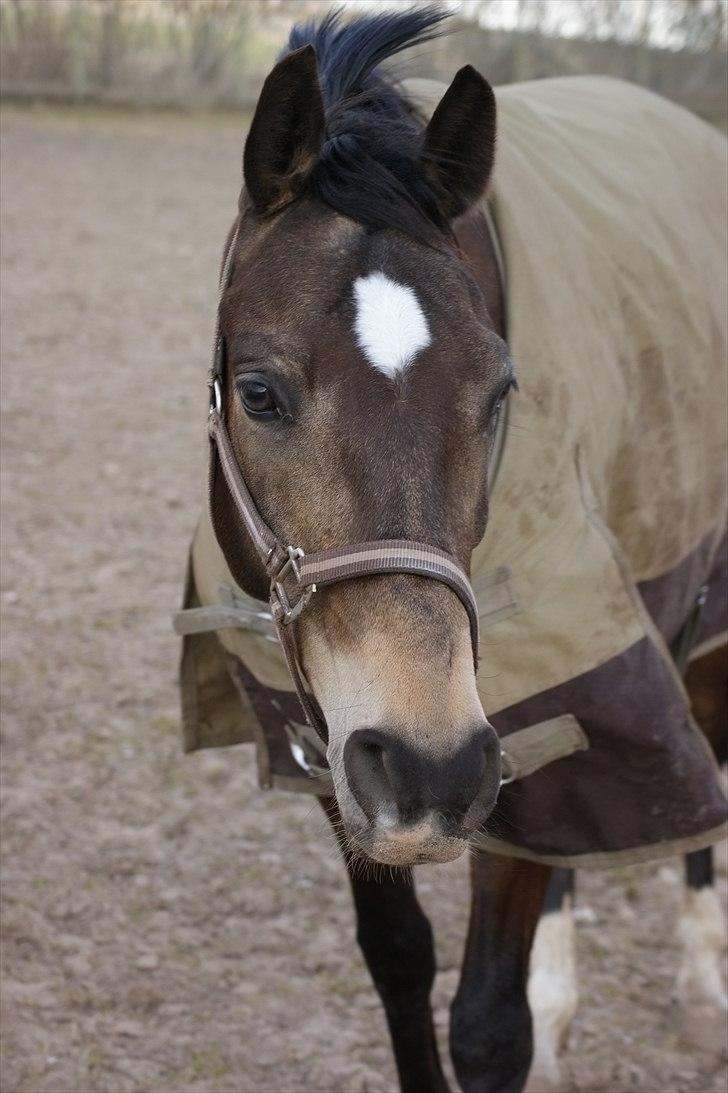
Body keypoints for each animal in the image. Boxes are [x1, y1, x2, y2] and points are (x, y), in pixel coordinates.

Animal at [177, 8, 725, 1093]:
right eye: (258, 391)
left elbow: (485, 1026)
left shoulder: (535, 723)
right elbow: (399, 963)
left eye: (501, 390)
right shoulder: (337, 747)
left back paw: (699, 988)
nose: (430, 763)